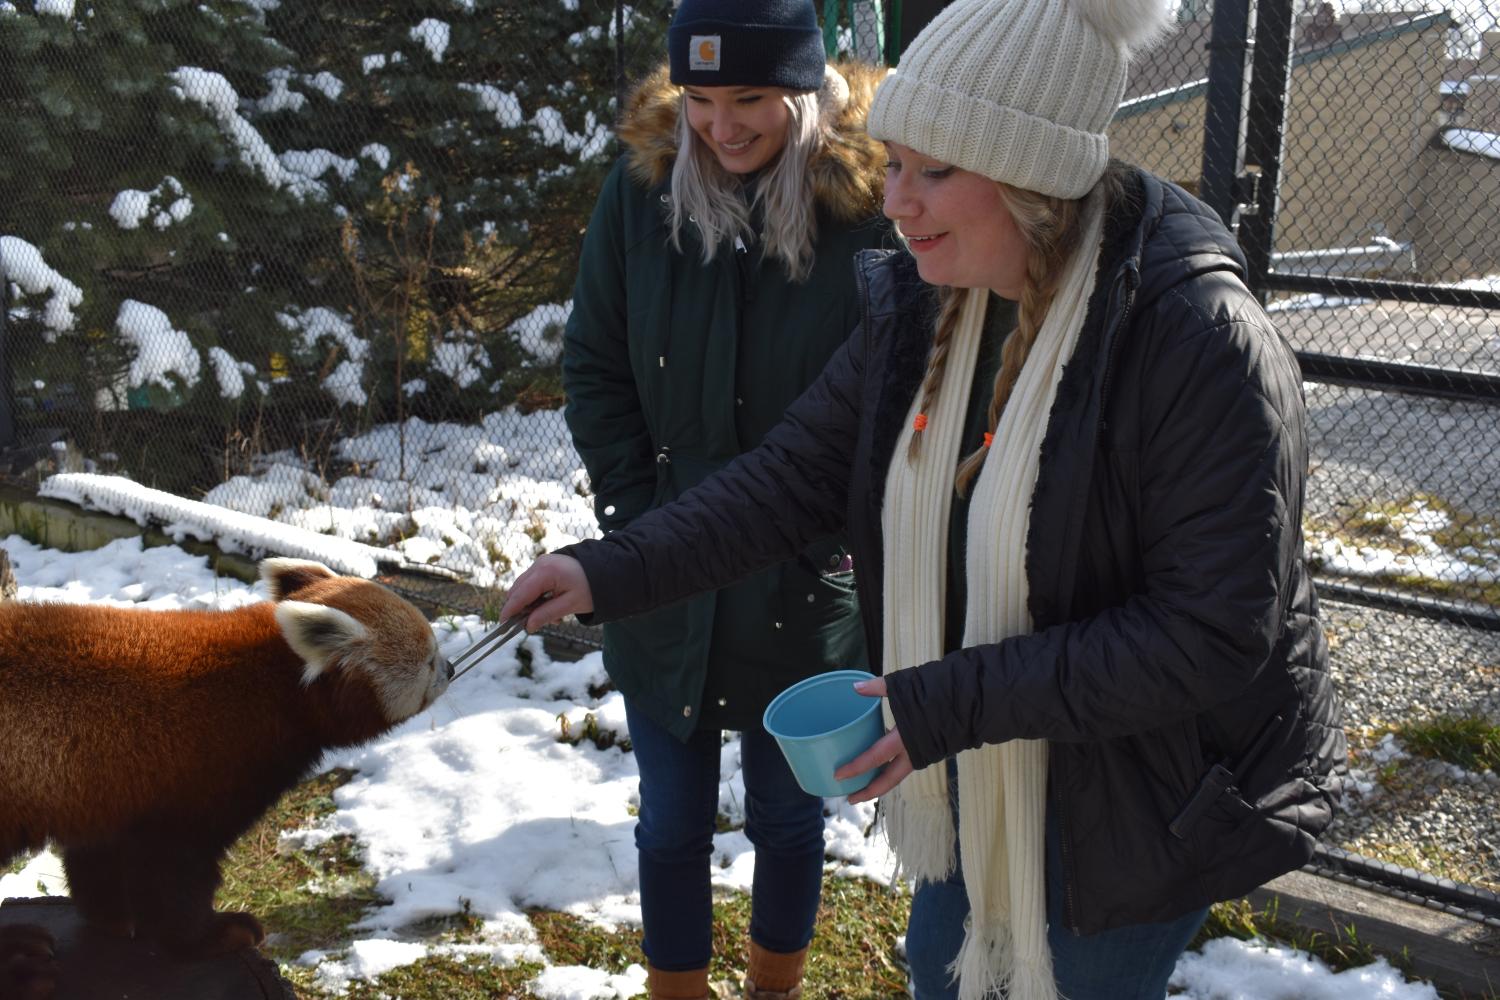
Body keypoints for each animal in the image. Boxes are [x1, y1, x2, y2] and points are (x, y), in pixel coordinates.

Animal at [0, 554, 450, 995]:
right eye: (429, 658)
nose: (449, 667)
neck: (273, 683)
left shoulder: (107, 788)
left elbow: (99, 853)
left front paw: (113, 916)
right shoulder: (196, 773)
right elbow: (175, 872)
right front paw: (214, 936)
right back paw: (22, 965)